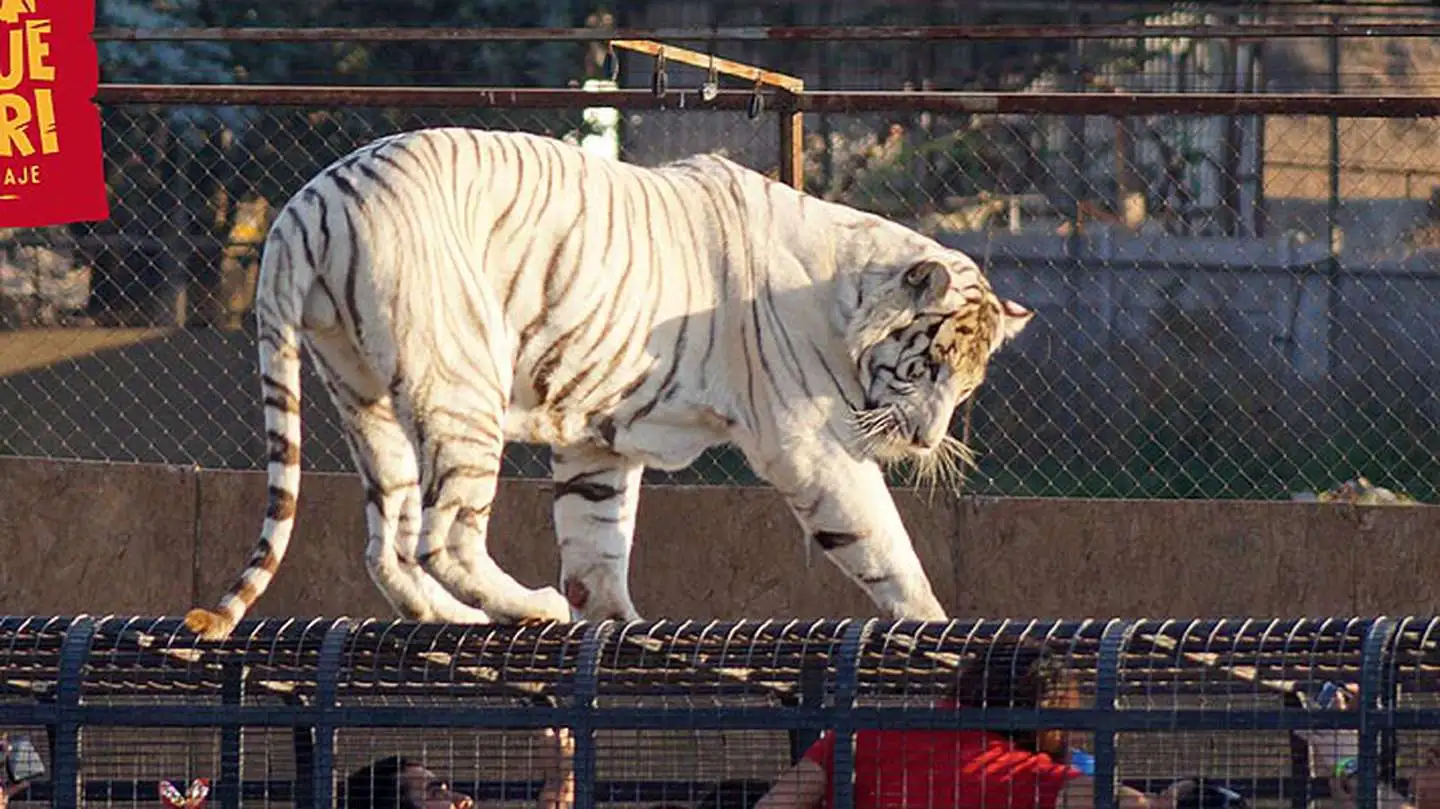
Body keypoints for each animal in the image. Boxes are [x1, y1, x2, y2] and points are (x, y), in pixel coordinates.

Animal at [183, 126, 1033, 640]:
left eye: (967, 387)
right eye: (927, 368)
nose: (926, 437)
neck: (839, 295)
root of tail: (306, 207)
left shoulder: (598, 438)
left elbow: (597, 540)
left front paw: (617, 621)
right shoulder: (809, 445)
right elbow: (881, 541)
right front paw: (933, 620)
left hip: (361, 393)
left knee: (385, 545)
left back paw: (463, 620)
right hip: (461, 385)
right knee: (445, 535)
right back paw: (530, 606)